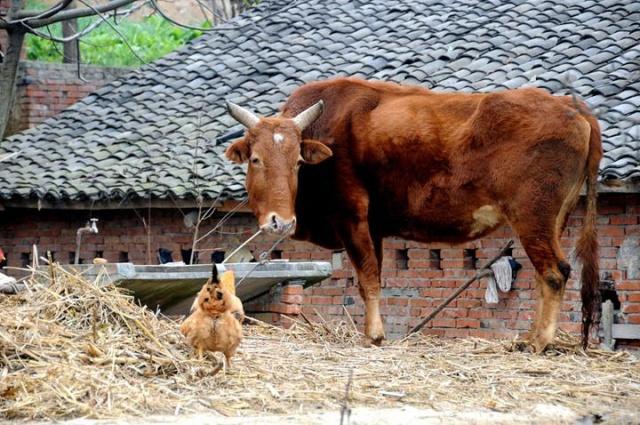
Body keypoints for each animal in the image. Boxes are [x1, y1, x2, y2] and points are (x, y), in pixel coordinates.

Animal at [225, 77, 600, 352]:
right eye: (256, 159)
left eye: (298, 162)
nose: (281, 221)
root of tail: (571, 105)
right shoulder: (373, 228)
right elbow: (372, 277)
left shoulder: (352, 217)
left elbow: (368, 279)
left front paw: (374, 336)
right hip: (554, 221)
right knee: (545, 276)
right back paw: (531, 337)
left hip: (532, 218)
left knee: (554, 273)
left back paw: (539, 342)